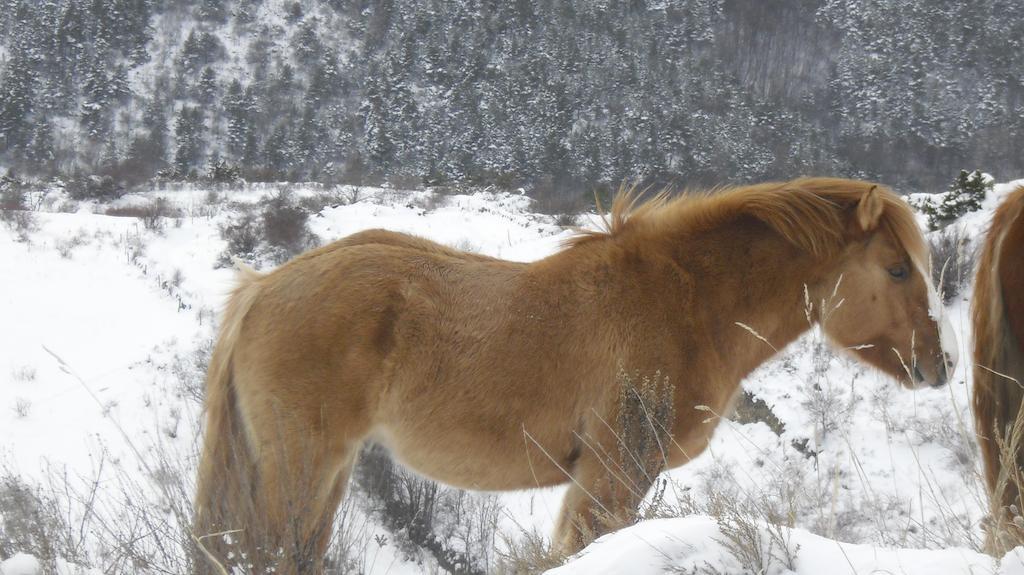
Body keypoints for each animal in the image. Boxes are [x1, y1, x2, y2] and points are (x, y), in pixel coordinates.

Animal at [193, 177, 958, 568]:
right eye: (897, 268)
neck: (684, 302)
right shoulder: (615, 472)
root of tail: (263, 288)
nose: (941, 362)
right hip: (304, 463)